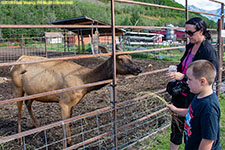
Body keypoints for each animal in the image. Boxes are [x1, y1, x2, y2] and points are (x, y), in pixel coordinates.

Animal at [10, 54, 142, 146]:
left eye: (130, 56)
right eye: (120, 59)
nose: (139, 69)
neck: (84, 83)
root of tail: (15, 63)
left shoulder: (72, 104)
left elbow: (70, 122)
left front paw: (70, 142)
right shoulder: (64, 103)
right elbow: (64, 124)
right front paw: (67, 144)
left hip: (33, 93)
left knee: (28, 103)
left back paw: (38, 127)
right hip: (17, 88)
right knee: (19, 112)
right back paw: (20, 140)